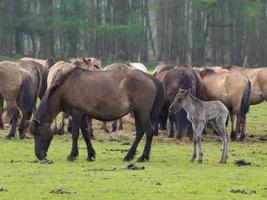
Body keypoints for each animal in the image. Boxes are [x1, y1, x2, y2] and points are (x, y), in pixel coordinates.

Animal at [29, 64, 163, 162]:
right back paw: (128, 156)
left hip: (143, 112)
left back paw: (143, 157)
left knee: (148, 131)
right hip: (136, 112)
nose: (39, 156)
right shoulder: (82, 115)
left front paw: (72, 155)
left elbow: (75, 134)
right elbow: (86, 134)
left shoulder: (76, 114)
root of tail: (150, 78)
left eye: (38, 133)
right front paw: (90, 155)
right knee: (140, 132)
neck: (67, 87)